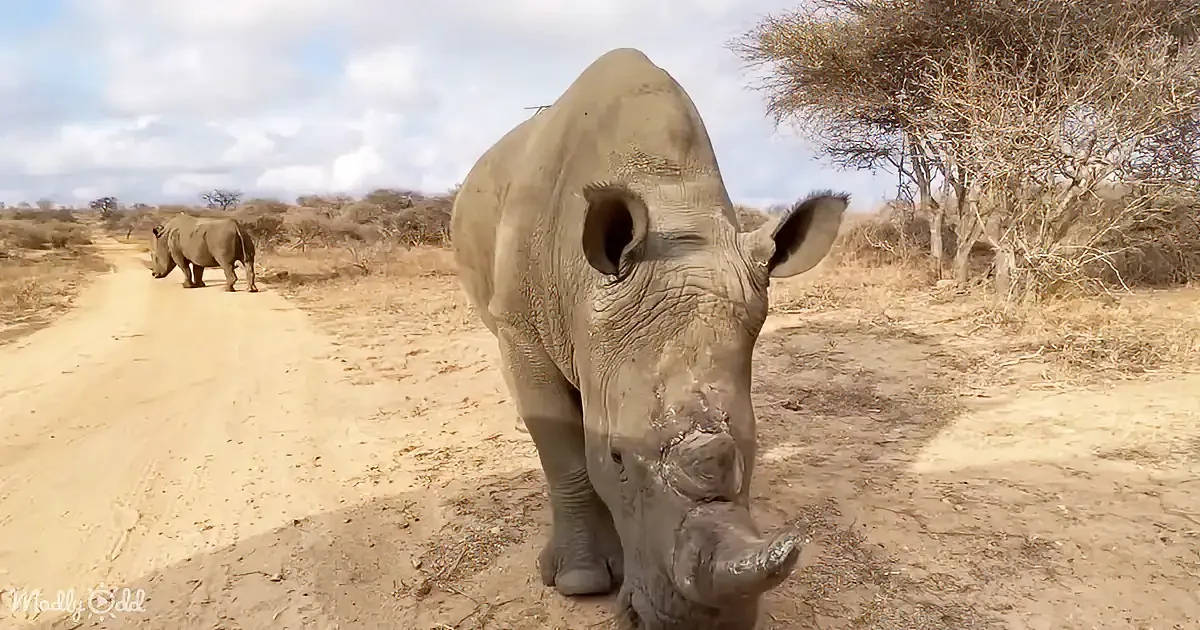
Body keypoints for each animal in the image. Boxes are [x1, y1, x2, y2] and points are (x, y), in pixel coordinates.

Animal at [450, 48, 847, 629]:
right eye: (617, 457)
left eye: (751, 446)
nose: (702, 627)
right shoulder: (518, 325)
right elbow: (563, 451)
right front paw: (580, 582)